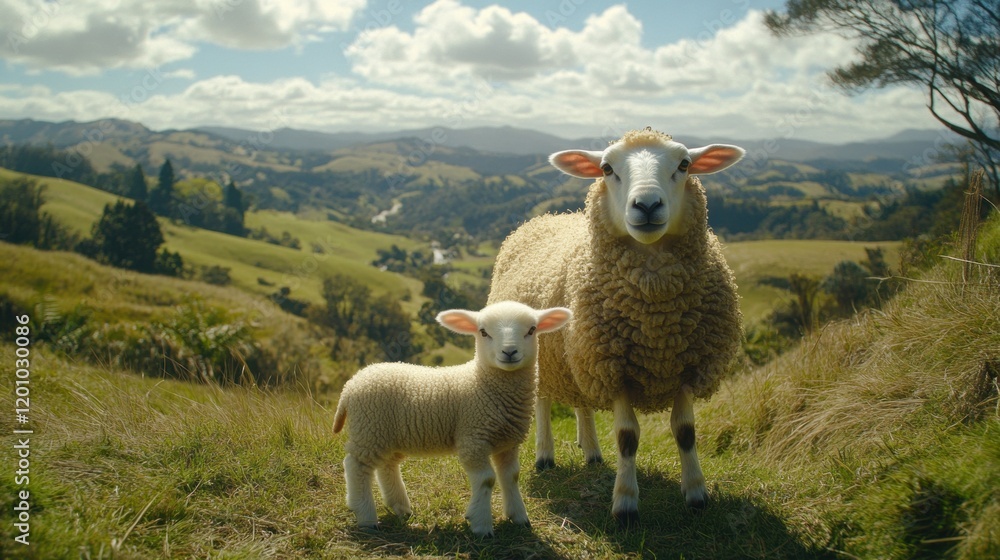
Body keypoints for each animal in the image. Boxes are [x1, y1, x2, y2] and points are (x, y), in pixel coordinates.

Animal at [333, 301, 572, 536]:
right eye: (483, 332)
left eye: (531, 330)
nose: (509, 351)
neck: (484, 383)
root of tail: (350, 385)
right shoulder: (472, 439)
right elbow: (486, 479)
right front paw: (481, 525)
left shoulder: (508, 443)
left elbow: (511, 476)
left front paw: (519, 518)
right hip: (369, 429)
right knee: (356, 466)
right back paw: (366, 517)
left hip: (388, 435)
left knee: (387, 465)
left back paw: (400, 506)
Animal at [488, 127, 745, 526]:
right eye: (607, 169)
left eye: (685, 164)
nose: (647, 205)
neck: (657, 321)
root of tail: (545, 218)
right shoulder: (614, 368)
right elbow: (627, 437)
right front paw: (625, 502)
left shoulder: (687, 362)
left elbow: (685, 432)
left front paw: (696, 494)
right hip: (544, 353)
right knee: (543, 401)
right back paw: (545, 454)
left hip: (575, 356)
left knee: (582, 402)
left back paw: (592, 450)